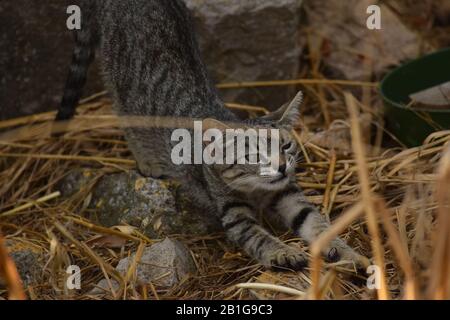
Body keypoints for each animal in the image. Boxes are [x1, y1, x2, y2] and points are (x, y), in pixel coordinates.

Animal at [56, 0, 366, 270]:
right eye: (253, 155)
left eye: (286, 146)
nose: (280, 166)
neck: (258, 192)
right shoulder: (233, 214)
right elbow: (259, 237)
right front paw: (283, 251)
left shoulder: (289, 194)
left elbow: (317, 223)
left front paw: (350, 254)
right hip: (119, 83)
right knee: (124, 115)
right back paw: (148, 160)